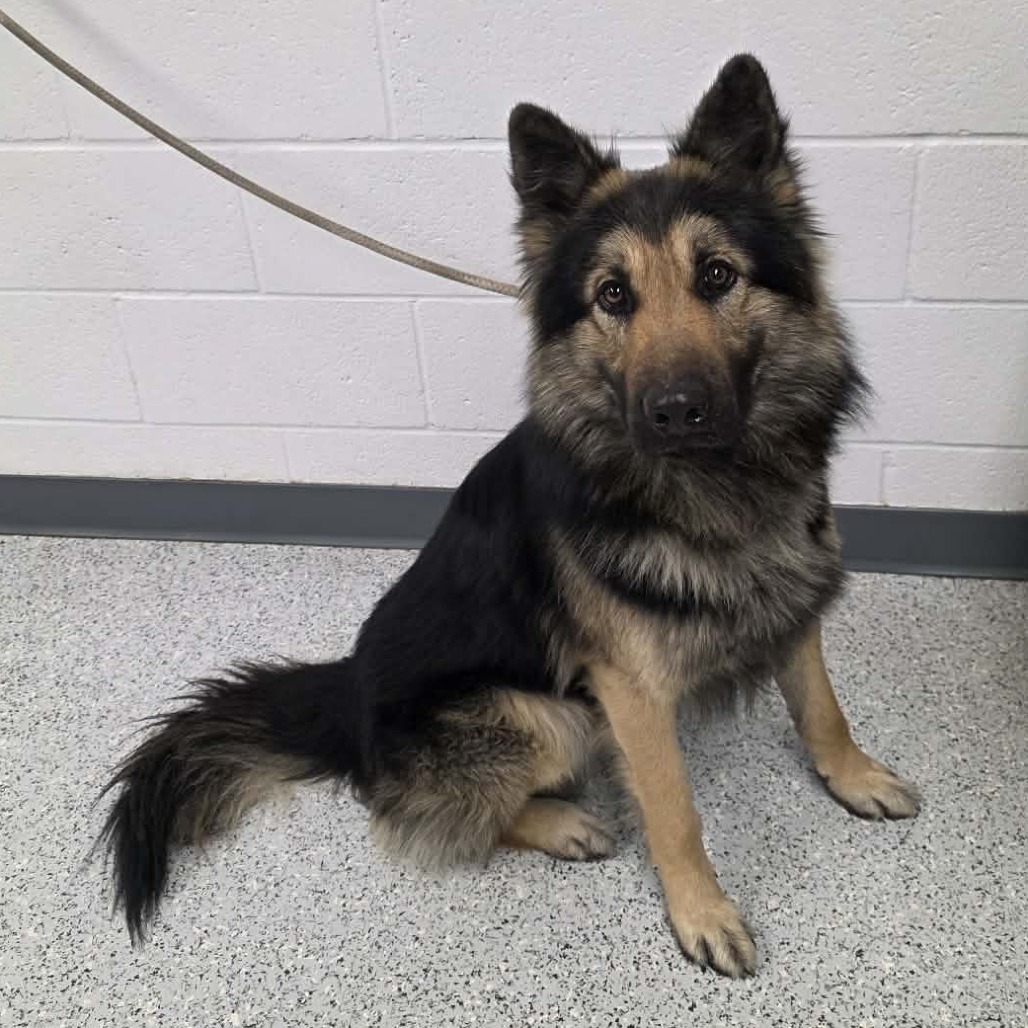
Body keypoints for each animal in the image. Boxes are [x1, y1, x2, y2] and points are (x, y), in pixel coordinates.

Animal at [99, 54, 920, 977]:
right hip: (552, 716)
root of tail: (345, 696)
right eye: (612, 295)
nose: (675, 411)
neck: (712, 493)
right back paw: (561, 823)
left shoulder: (796, 600)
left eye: (716, 275)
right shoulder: (629, 690)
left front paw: (851, 776)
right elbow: (674, 809)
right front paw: (700, 910)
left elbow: (821, 705)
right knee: (415, 814)